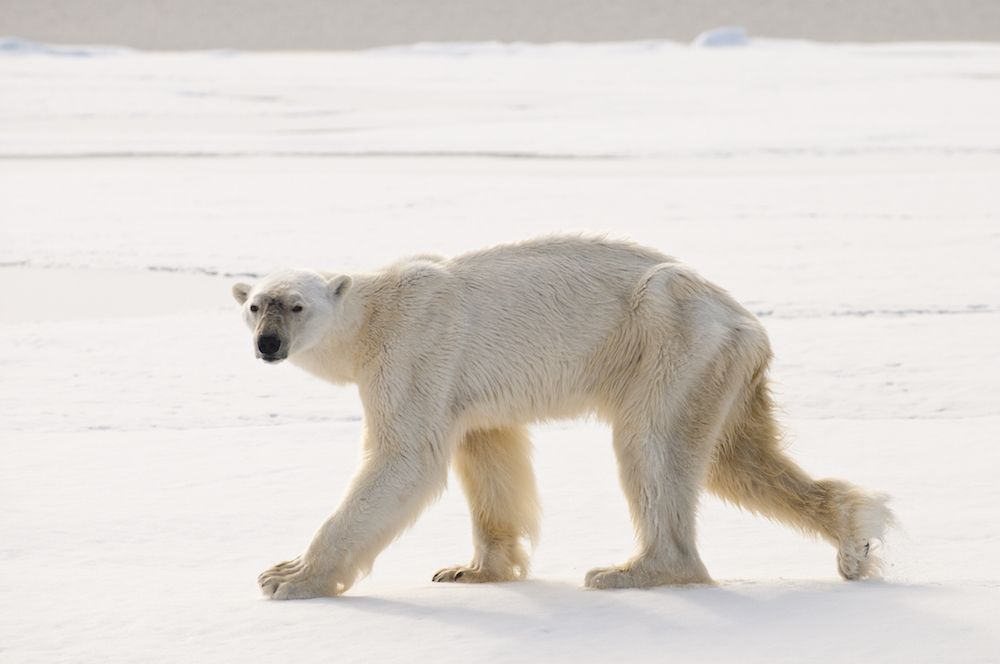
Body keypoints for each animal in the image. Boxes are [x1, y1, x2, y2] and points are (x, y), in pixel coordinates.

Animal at [232, 236, 892, 600]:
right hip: (721, 368)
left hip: (669, 339)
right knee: (737, 459)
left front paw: (286, 576)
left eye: (296, 305)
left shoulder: (412, 349)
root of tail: (745, 322)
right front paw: (471, 570)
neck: (372, 315)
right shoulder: (463, 388)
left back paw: (631, 570)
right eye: (256, 305)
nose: (268, 344)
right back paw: (854, 537)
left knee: (652, 445)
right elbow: (489, 454)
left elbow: (404, 458)